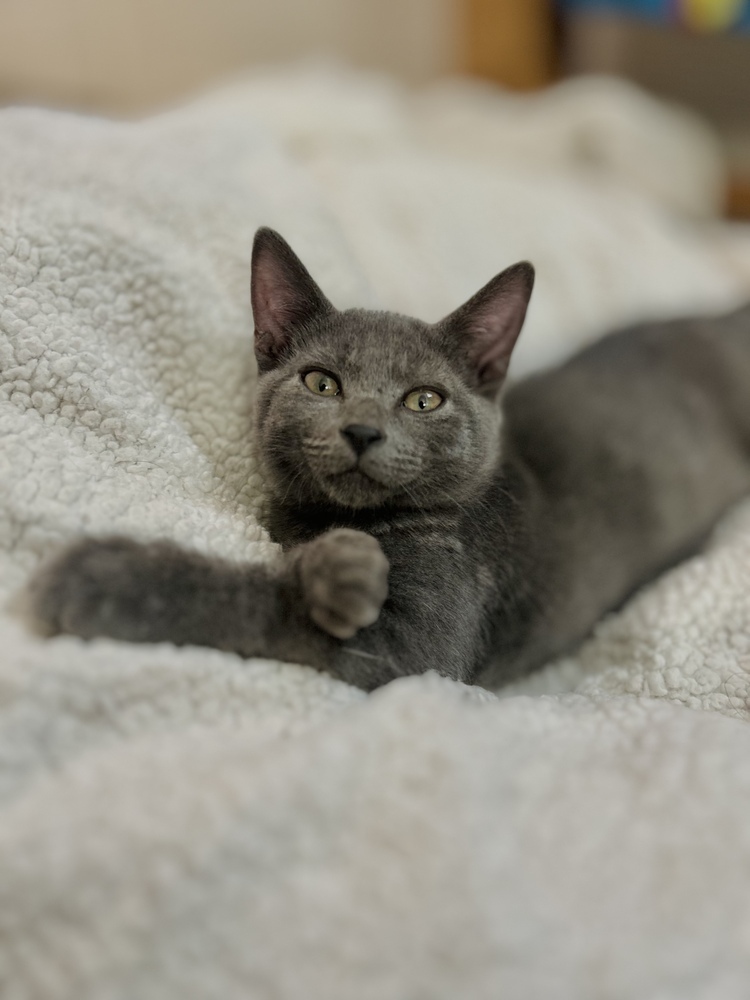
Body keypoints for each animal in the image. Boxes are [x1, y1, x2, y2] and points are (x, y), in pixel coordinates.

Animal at [29, 228, 750, 692]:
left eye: (424, 399)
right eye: (321, 383)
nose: (362, 431)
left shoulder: (416, 646)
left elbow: (267, 604)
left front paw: (105, 576)